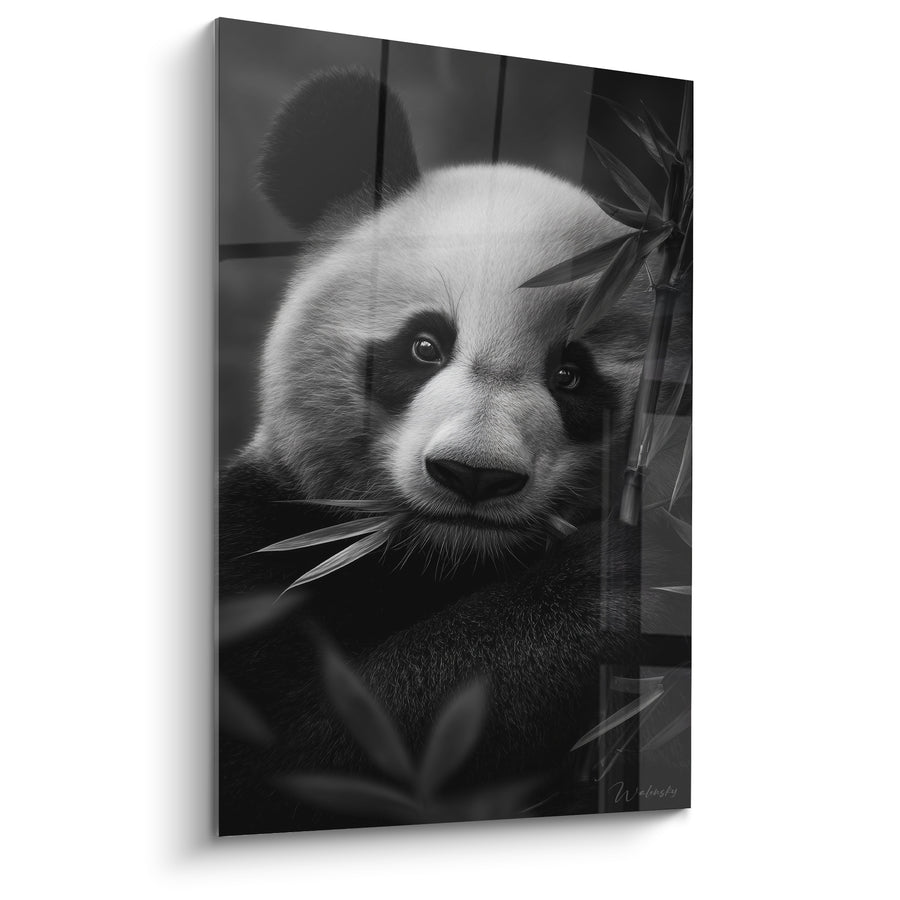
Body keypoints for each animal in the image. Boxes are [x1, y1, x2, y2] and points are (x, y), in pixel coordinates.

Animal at [218, 69, 690, 835]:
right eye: (424, 345)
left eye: (572, 376)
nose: (474, 474)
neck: (442, 560)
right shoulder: (259, 547)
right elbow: (296, 760)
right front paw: (618, 586)